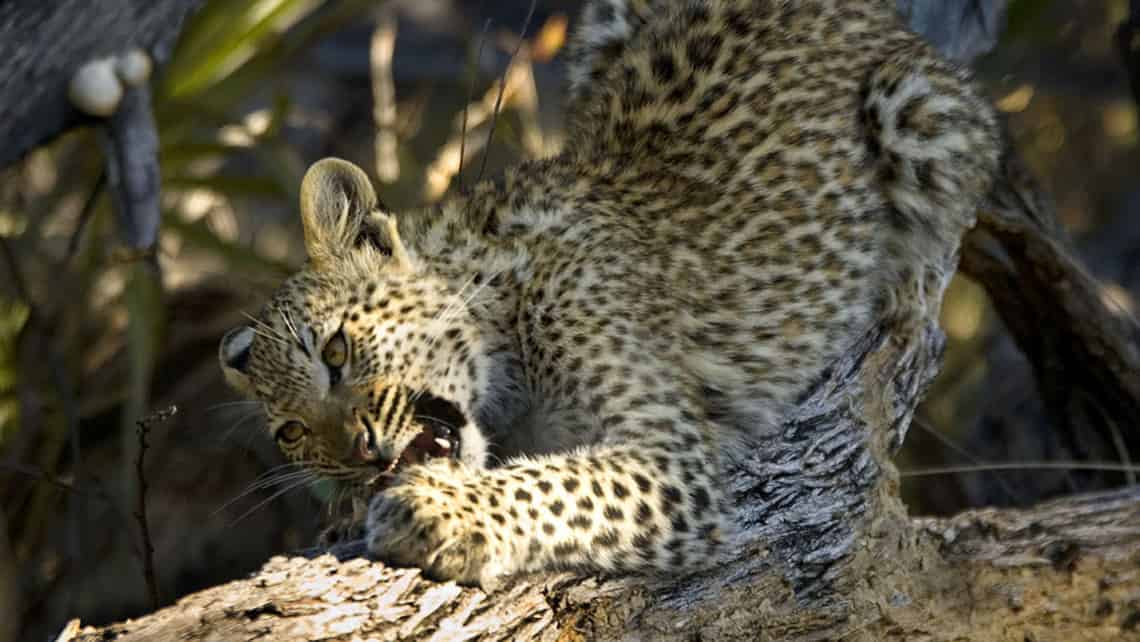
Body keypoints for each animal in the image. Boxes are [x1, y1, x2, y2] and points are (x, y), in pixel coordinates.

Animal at [214, 0, 998, 592]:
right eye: (292, 434)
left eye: (336, 351)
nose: (361, 455)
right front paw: (351, 508)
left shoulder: (672, 457)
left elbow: (552, 483)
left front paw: (437, 513)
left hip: (916, 110)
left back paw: (902, 304)